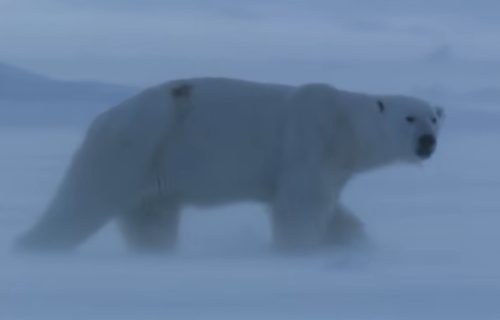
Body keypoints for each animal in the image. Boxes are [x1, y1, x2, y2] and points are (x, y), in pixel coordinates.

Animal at [16, 78, 446, 252]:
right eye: (409, 117)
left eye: (434, 118)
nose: (427, 141)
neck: (344, 123)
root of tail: (102, 120)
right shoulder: (308, 140)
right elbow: (300, 207)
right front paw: (296, 252)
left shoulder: (335, 166)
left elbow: (334, 212)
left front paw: (357, 244)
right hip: (133, 148)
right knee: (80, 204)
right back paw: (33, 247)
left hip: (152, 169)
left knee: (152, 221)